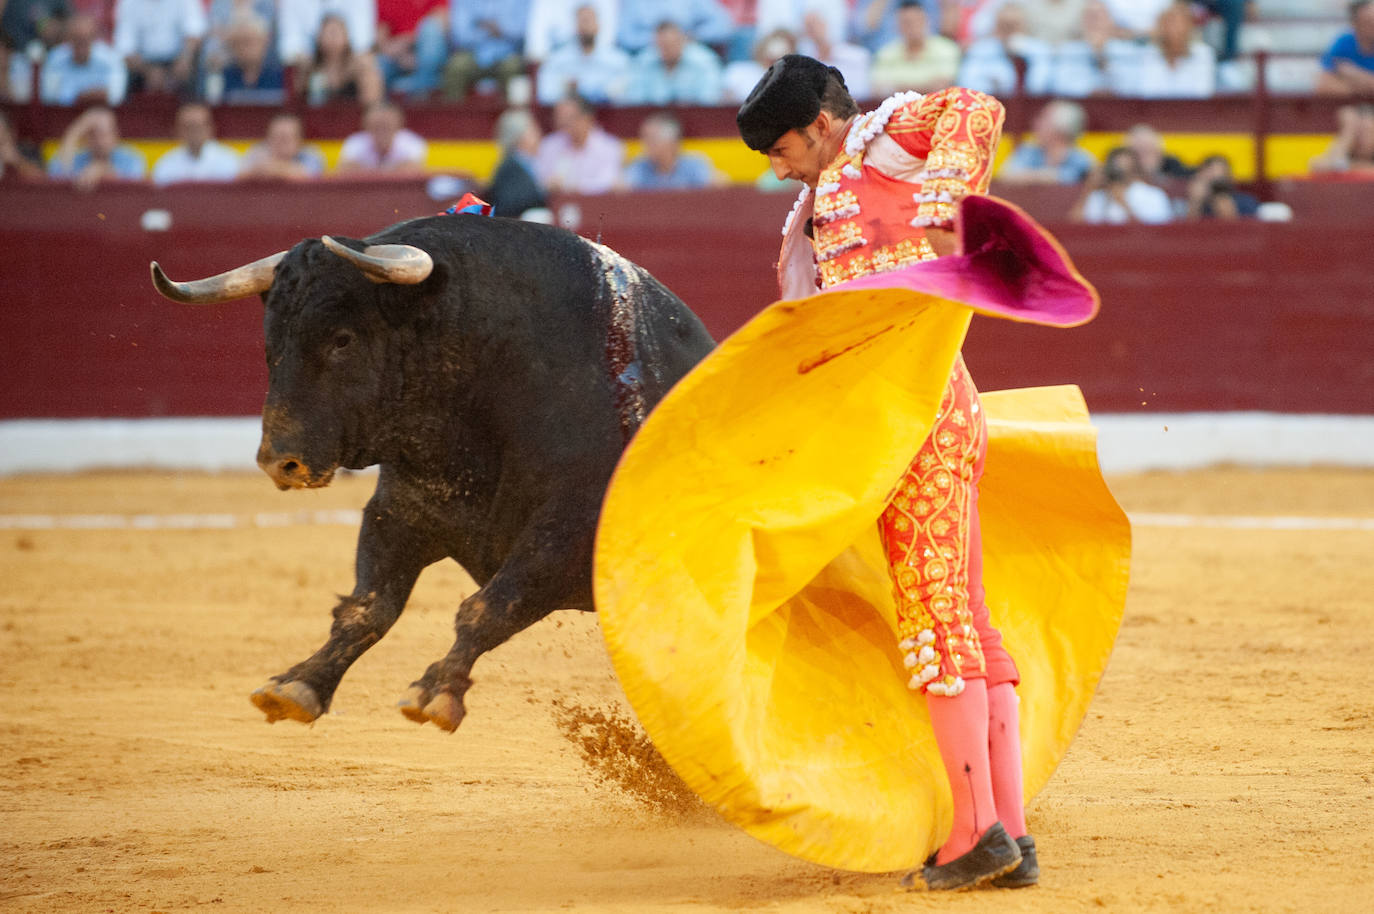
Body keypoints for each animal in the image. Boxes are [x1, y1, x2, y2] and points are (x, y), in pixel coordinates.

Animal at [154, 211, 719, 725]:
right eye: (272, 341)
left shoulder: (569, 534)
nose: (280, 462)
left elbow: (489, 607)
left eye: (342, 339)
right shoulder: (401, 510)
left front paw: (435, 693)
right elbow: (369, 606)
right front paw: (298, 685)